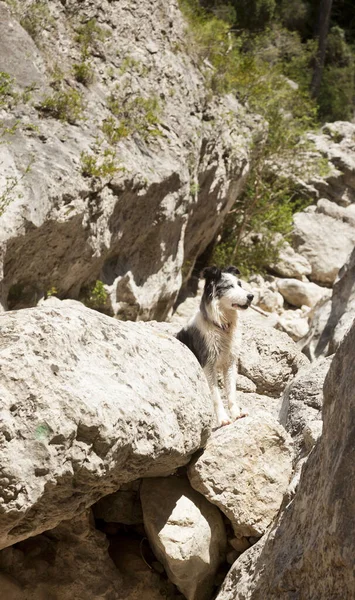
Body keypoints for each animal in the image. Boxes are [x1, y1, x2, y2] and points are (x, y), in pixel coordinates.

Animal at [177, 266, 254, 426]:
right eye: (229, 286)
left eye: (240, 284)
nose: (251, 296)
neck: (220, 325)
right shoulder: (208, 365)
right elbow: (216, 395)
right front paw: (223, 418)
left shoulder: (230, 363)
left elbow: (231, 392)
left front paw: (236, 414)